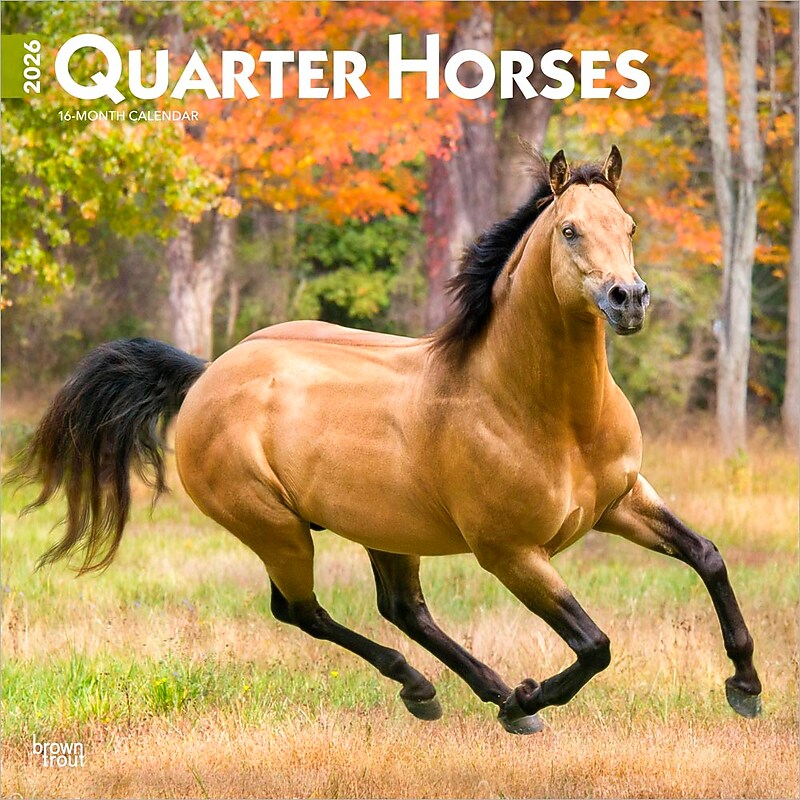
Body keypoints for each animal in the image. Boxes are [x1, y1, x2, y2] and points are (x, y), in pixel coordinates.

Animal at [14, 147, 762, 734]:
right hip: (276, 530)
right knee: (302, 611)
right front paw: (531, 696)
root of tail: (206, 377)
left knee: (401, 609)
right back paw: (443, 691)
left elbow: (708, 556)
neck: (541, 412)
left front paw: (746, 687)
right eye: (570, 229)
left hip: (385, 528)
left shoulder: (622, 501)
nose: (628, 299)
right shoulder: (513, 554)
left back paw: (475, 693)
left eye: (629, 225)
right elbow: (595, 644)